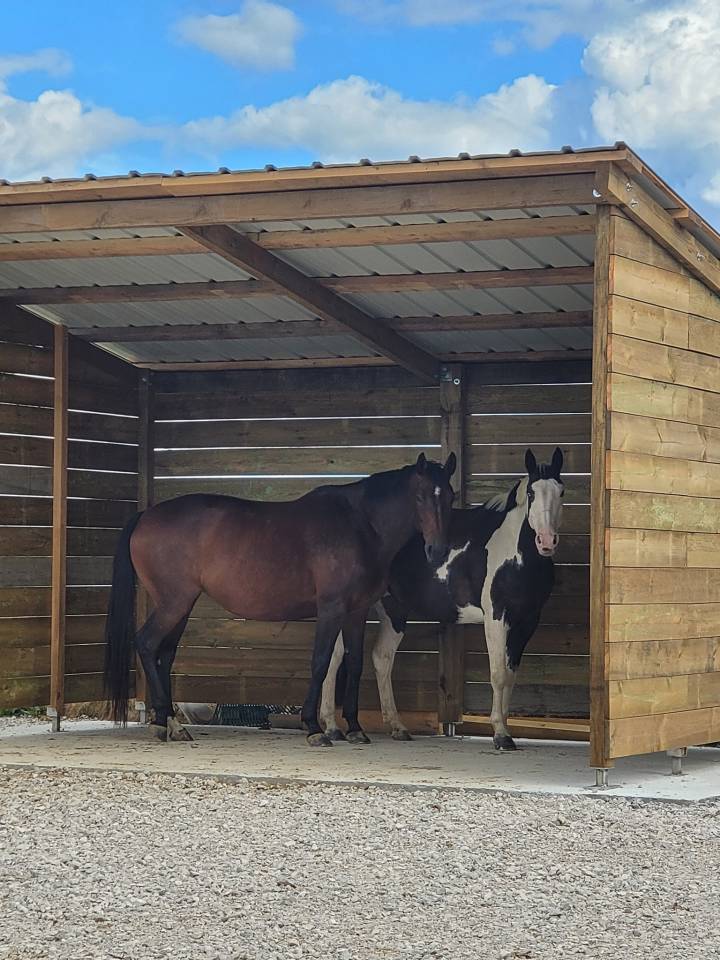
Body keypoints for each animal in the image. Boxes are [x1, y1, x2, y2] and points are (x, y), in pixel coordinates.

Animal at [103, 453, 457, 747]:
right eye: (421, 496)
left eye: (450, 497)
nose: (438, 550)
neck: (360, 525)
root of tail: (146, 515)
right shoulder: (331, 608)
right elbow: (320, 662)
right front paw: (314, 728)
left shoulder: (356, 611)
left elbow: (355, 664)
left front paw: (355, 728)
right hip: (173, 602)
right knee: (147, 644)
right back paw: (164, 726)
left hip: (181, 605)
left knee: (164, 655)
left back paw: (172, 726)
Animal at [320, 448, 564, 750]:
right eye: (531, 493)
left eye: (561, 491)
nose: (546, 541)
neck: (515, 553)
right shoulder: (497, 617)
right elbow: (498, 674)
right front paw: (500, 733)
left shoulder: (527, 623)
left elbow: (510, 675)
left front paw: (505, 729)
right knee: (335, 657)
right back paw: (331, 728)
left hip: (393, 610)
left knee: (382, 658)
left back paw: (397, 727)